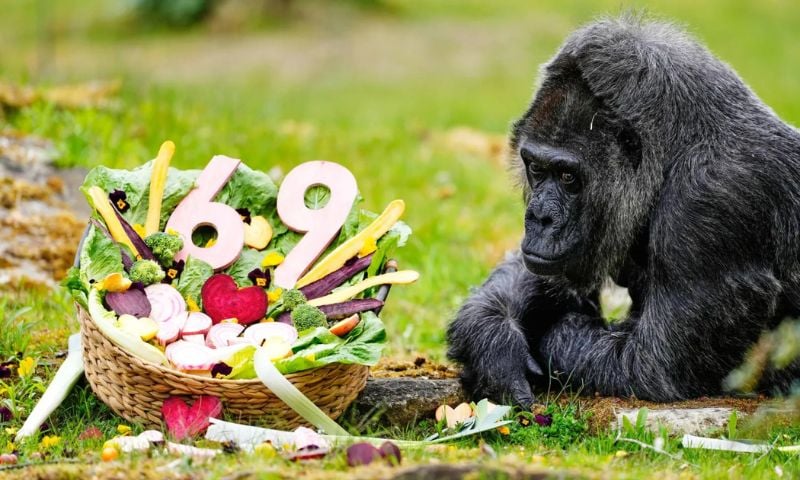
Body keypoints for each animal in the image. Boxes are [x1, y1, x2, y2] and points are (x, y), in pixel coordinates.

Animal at [447, 16, 800, 407]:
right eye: (537, 168)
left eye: (568, 177)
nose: (539, 217)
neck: (675, 153)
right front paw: (493, 339)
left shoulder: (714, 201)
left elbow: (650, 365)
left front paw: (548, 336)